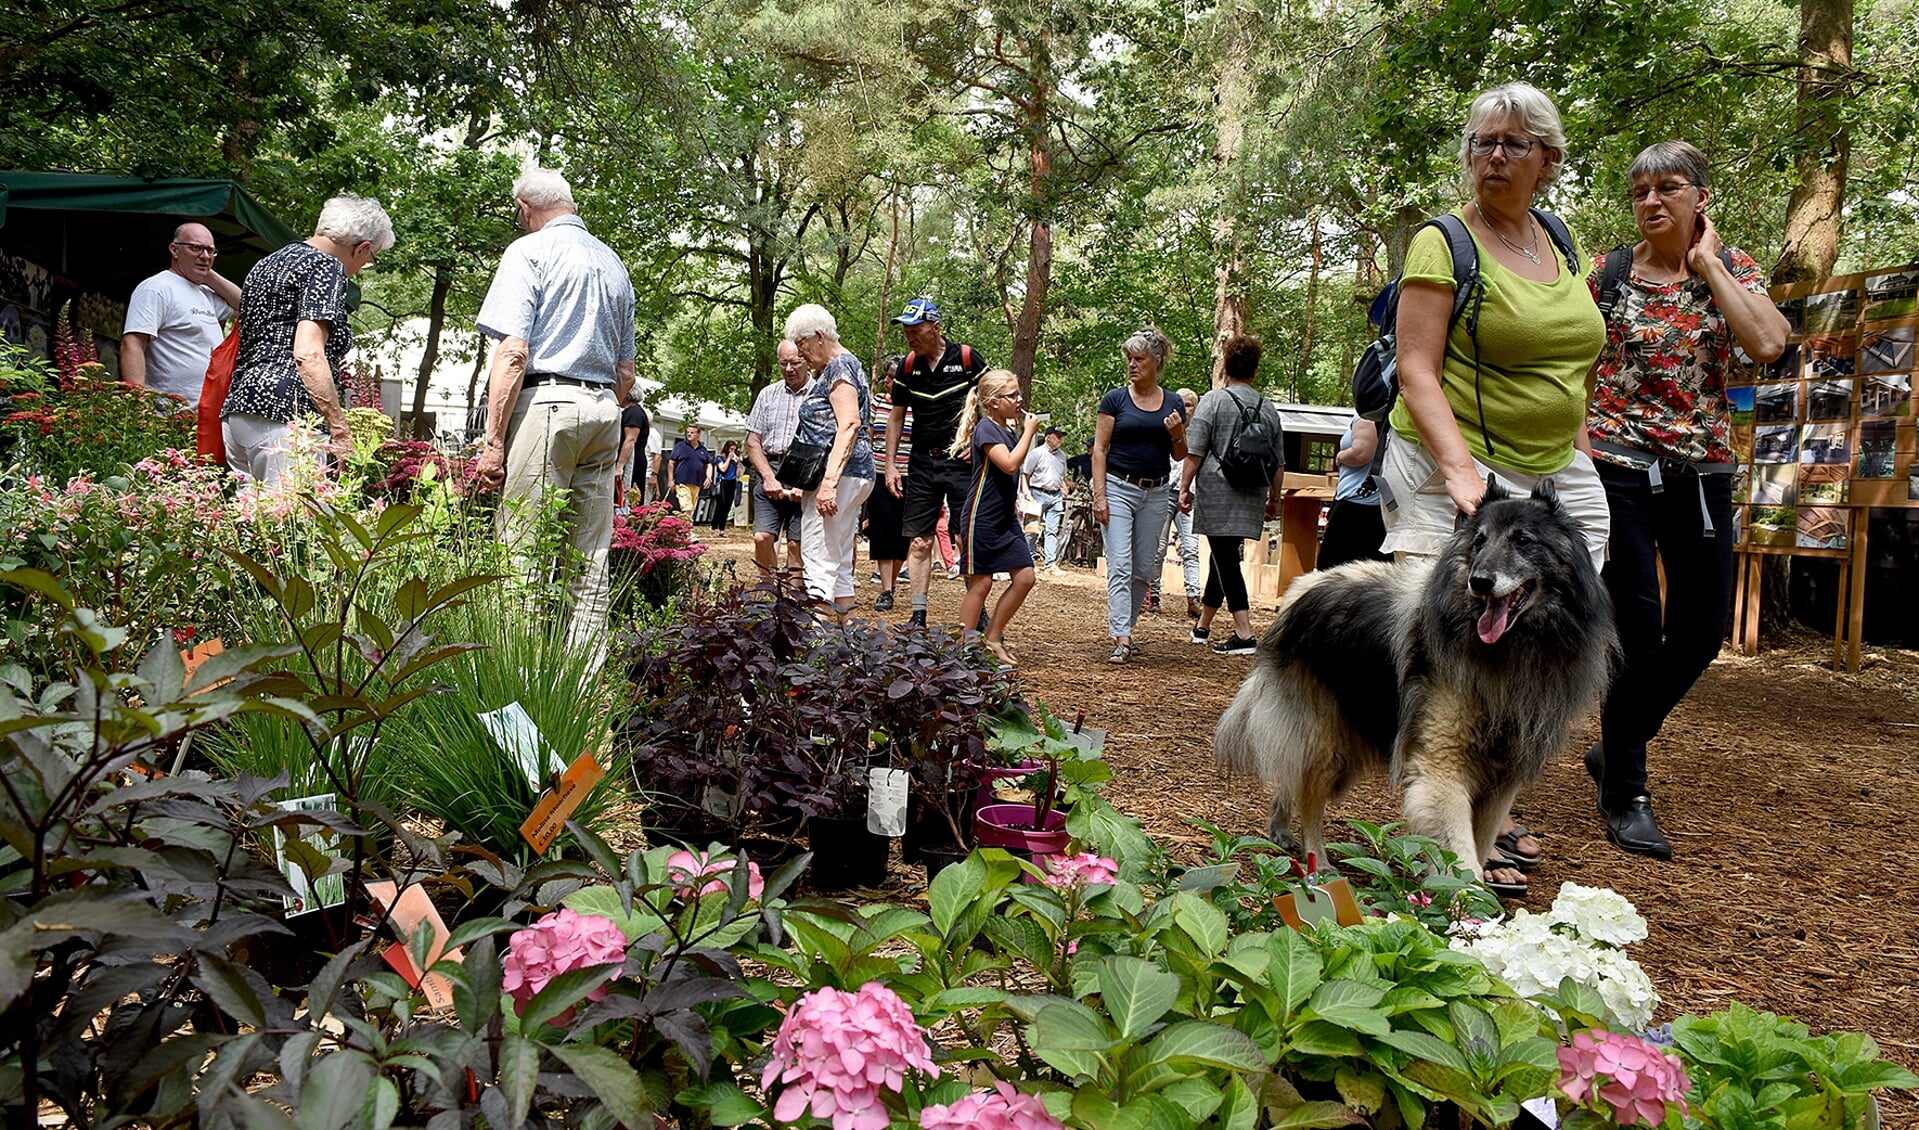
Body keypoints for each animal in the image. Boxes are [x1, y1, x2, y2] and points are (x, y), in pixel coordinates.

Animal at [1220, 471, 1611, 878]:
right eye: (1479, 541)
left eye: (1523, 540)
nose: (1479, 581)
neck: (1510, 649)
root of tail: (1302, 588)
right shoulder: (1442, 766)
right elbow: (1463, 857)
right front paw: (1468, 893)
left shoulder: (1502, 782)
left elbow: (1480, 843)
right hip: (1328, 742)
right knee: (1310, 798)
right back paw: (1320, 864)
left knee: (1291, 778)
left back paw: (1281, 830)